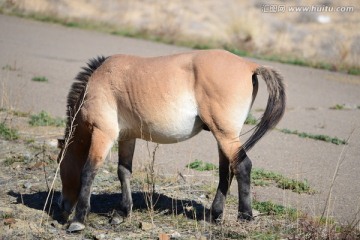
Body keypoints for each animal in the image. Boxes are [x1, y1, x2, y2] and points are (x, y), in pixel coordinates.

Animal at [57, 49, 286, 232]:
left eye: (60, 166)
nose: (63, 208)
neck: (98, 82)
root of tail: (249, 66)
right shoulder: (127, 137)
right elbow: (123, 172)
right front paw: (122, 212)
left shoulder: (102, 134)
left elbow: (88, 171)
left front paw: (78, 220)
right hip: (223, 136)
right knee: (227, 171)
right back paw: (215, 214)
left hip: (225, 134)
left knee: (243, 166)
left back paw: (245, 216)